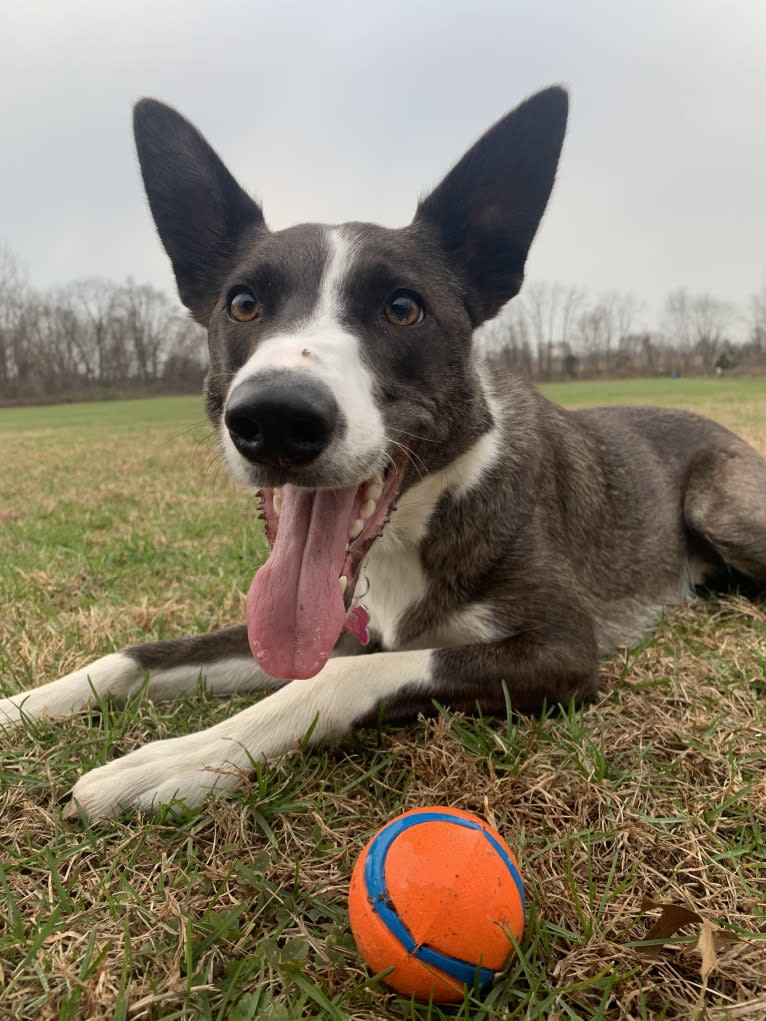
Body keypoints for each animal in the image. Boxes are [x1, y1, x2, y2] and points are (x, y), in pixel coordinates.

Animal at [4, 89, 766, 820]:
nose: (276, 417)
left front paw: (179, 759)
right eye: (242, 304)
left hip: (719, 500)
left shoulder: (562, 650)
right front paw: (20, 706)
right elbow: (135, 654)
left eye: (404, 308)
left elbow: (338, 675)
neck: (420, 521)